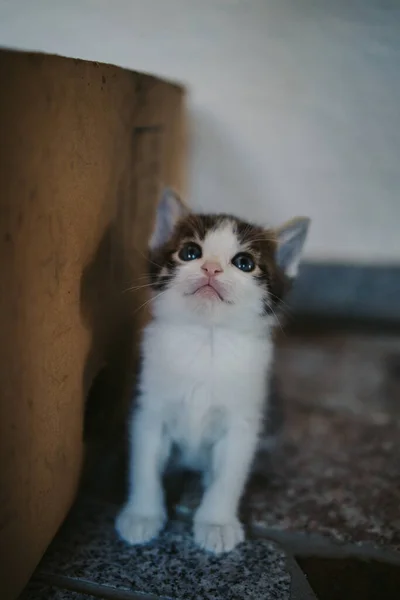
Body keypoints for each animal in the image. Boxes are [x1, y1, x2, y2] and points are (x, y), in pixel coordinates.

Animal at [115, 188, 310, 552]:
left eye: (244, 263)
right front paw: (142, 514)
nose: (211, 268)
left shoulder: (242, 422)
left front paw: (216, 522)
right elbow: (145, 464)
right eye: (190, 252)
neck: (207, 341)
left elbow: (229, 475)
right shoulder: (148, 409)